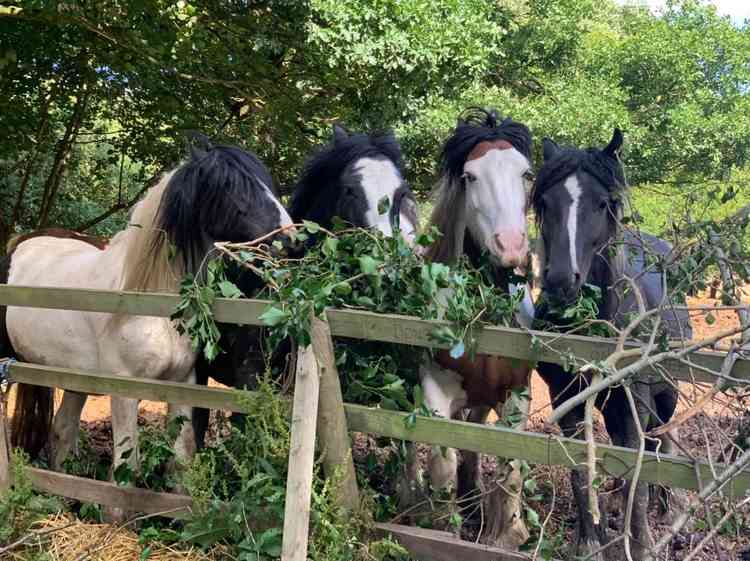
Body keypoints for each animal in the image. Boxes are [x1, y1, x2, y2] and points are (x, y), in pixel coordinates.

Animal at [414, 106, 536, 548]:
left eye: (526, 174)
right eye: (469, 177)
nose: (512, 247)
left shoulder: (515, 396)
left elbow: (509, 468)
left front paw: (507, 534)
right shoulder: (434, 393)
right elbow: (442, 464)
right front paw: (441, 528)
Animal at [536, 130, 692, 560]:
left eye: (603, 202)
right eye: (544, 201)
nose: (560, 281)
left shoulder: (633, 403)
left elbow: (634, 475)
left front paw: (639, 544)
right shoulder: (567, 398)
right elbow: (581, 471)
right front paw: (589, 539)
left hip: (664, 395)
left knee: (660, 445)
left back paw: (667, 508)